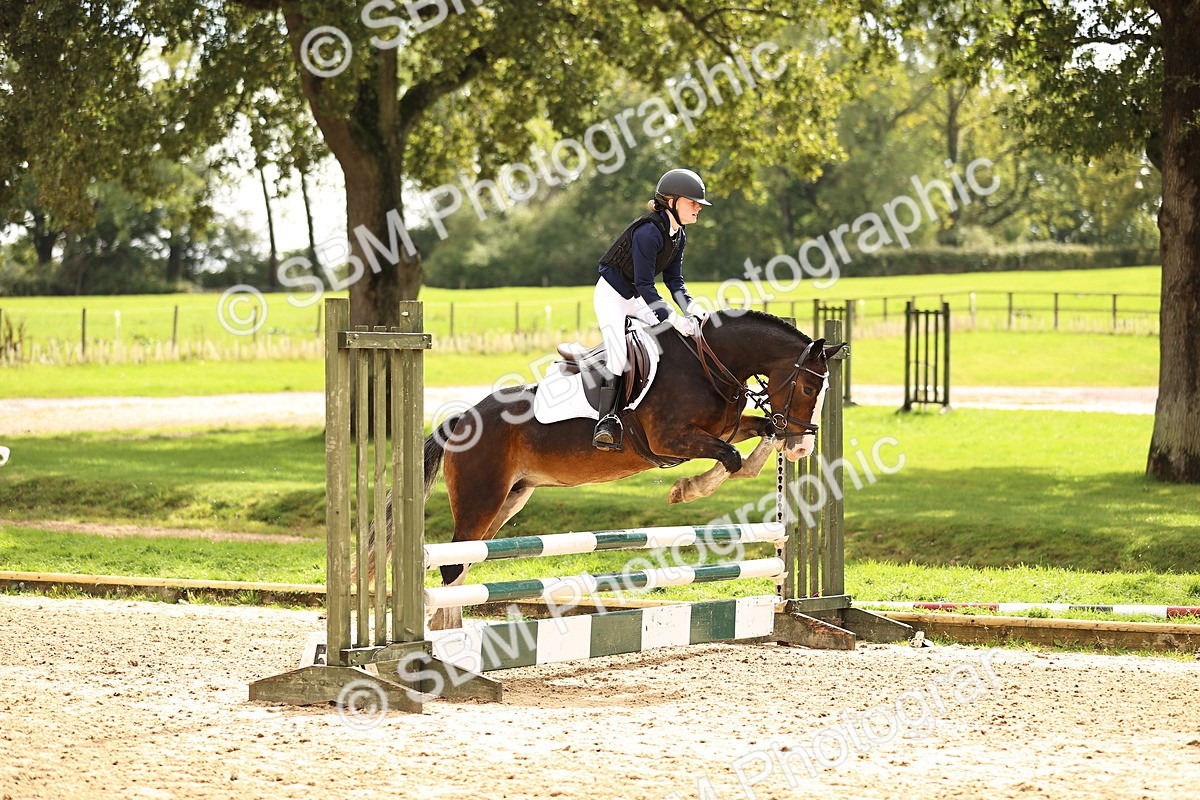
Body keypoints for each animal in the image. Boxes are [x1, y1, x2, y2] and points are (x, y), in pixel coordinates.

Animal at [411, 309, 842, 629]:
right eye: (807, 388)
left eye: (823, 390)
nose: (802, 447)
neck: (711, 364)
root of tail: (460, 420)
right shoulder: (671, 439)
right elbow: (732, 460)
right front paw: (688, 489)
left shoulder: (724, 429)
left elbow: (761, 436)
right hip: (480, 500)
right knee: (452, 565)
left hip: (508, 501)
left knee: (465, 561)